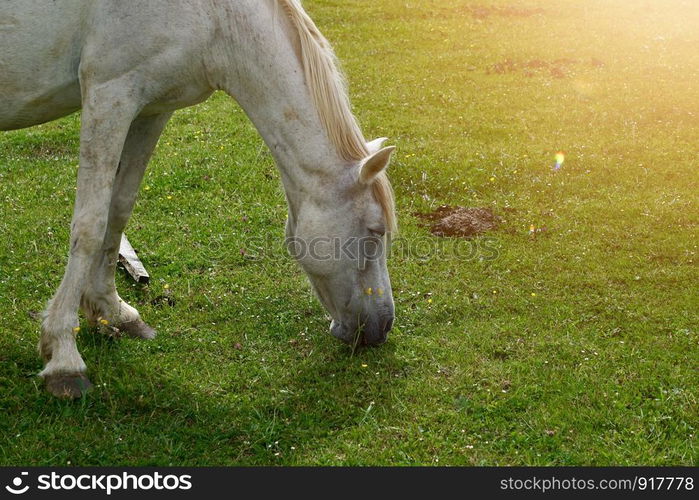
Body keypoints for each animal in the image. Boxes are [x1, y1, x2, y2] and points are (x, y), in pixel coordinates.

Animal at [1, 0, 394, 398]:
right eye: (375, 231)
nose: (381, 327)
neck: (216, 18)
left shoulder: (151, 108)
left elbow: (119, 209)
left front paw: (113, 311)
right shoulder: (109, 95)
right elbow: (90, 226)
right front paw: (64, 356)